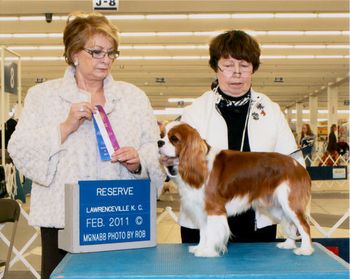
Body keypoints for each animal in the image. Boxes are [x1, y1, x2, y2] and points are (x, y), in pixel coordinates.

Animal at [157, 122, 314, 258]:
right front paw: (200, 248)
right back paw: (289, 244)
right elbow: (204, 231)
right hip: (279, 207)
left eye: (174, 139)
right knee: (292, 225)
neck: (201, 162)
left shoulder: (214, 208)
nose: (159, 142)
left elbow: (212, 232)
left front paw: (208, 251)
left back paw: (305, 249)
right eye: (161, 135)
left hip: (290, 203)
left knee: (304, 226)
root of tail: (298, 166)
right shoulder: (201, 208)